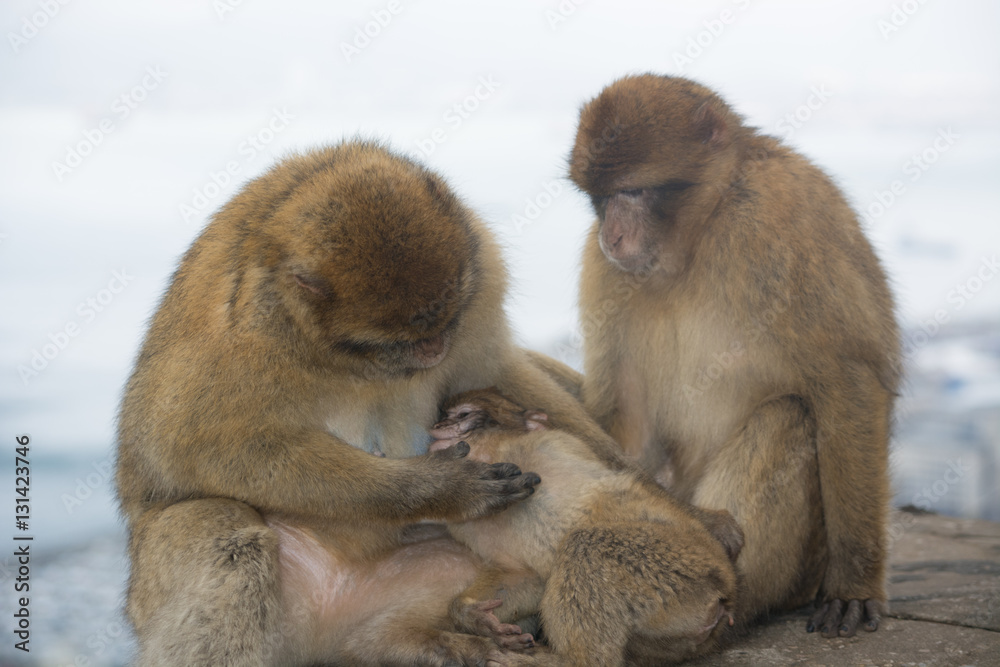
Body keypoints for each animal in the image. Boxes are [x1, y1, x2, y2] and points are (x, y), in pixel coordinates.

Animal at [117, 138, 620, 664]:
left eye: (445, 320)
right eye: (393, 340)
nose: (434, 349)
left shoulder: (482, 285)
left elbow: (493, 372)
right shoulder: (237, 340)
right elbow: (203, 449)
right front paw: (440, 488)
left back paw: (441, 640)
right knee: (224, 535)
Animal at [430, 388, 744, 664]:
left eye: (463, 415)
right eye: (443, 416)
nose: (437, 427)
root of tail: (725, 595)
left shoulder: (553, 444)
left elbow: (627, 483)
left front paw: (711, 522)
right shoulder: (467, 520)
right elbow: (527, 576)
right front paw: (471, 615)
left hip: (693, 570)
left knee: (587, 544)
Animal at [568, 75, 904, 640]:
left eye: (632, 191)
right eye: (602, 197)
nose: (610, 234)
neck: (702, 232)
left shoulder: (779, 216)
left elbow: (847, 377)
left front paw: (854, 585)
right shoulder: (605, 269)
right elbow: (627, 423)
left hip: (799, 571)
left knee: (790, 415)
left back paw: (723, 602)